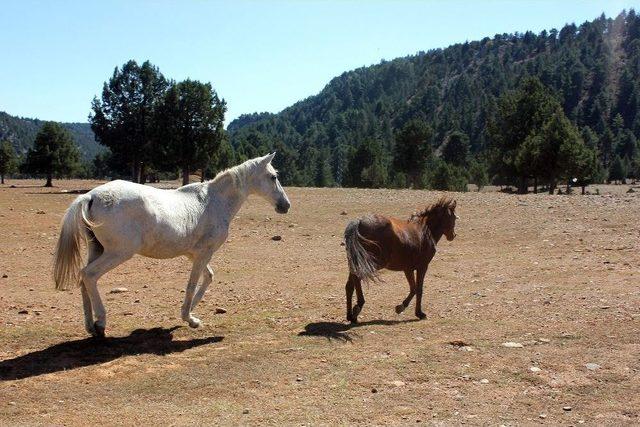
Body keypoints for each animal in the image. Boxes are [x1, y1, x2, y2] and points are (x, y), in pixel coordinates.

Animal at [53, 154, 292, 338]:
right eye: (273, 177)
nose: (286, 206)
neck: (214, 202)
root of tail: (90, 196)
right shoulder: (203, 254)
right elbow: (192, 284)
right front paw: (189, 318)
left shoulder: (194, 255)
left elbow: (208, 277)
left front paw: (190, 313)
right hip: (117, 253)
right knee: (89, 275)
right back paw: (101, 324)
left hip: (97, 249)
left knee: (83, 280)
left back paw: (90, 327)